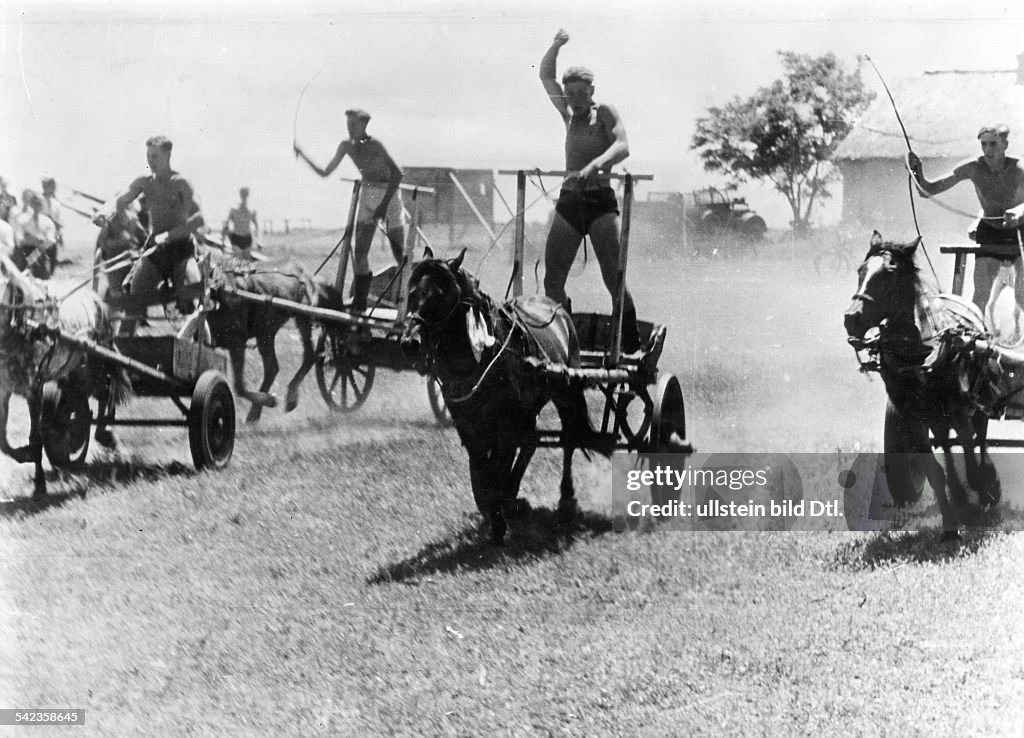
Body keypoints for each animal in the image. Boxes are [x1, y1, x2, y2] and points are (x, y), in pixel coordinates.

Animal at [0, 251, 130, 495]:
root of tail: (96, 299)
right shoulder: (4, 391)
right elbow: (3, 440)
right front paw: (24, 455)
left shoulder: (34, 388)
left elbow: (36, 437)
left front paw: (39, 485)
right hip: (76, 373)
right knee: (82, 400)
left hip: (93, 368)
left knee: (106, 391)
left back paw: (106, 434)